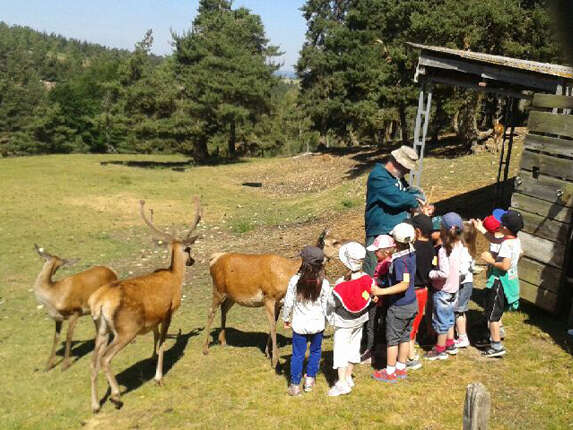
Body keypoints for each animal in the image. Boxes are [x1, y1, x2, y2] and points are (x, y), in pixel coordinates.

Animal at [86, 198, 199, 414]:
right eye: (188, 249)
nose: (192, 261)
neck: (175, 277)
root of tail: (100, 302)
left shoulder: (155, 316)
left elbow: (155, 337)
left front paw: (152, 358)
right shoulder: (168, 311)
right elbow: (162, 341)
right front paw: (158, 378)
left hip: (101, 328)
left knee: (93, 360)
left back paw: (95, 405)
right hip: (126, 329)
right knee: (105, 358)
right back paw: (116, 396)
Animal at [202, 228, 340, 366]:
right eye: (334, 242)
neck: (287, 273)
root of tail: (213, 259)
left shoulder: (279, 302)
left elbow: (273, 323)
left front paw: (268, 353)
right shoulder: (268, 296)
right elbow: (273, 326)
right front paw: (275, 360)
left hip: (231, 296)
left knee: (224, 309)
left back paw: (223, 341)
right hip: (217, 289)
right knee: (210, 312)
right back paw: (205, 349)